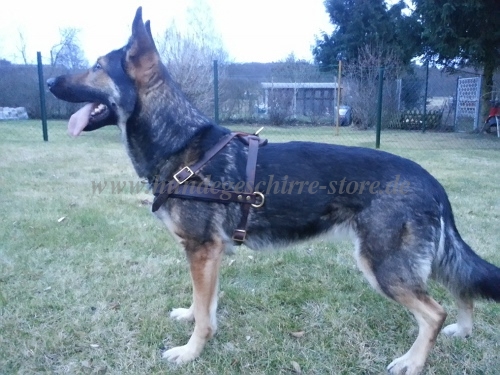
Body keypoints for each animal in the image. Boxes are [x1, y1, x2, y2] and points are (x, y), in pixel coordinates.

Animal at [48, 6, 500, 375]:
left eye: (95, 66)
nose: (50, 80)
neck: (179, 141)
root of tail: (431, 180)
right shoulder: (207, 255)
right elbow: (204, 304)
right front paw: (191, 320)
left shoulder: (202, 251)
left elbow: (206, 315)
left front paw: (190, 352)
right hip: (415, 262)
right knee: (460, 288)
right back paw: (463, 329)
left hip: (384, 267)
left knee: (434, 312)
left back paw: (414, 361)